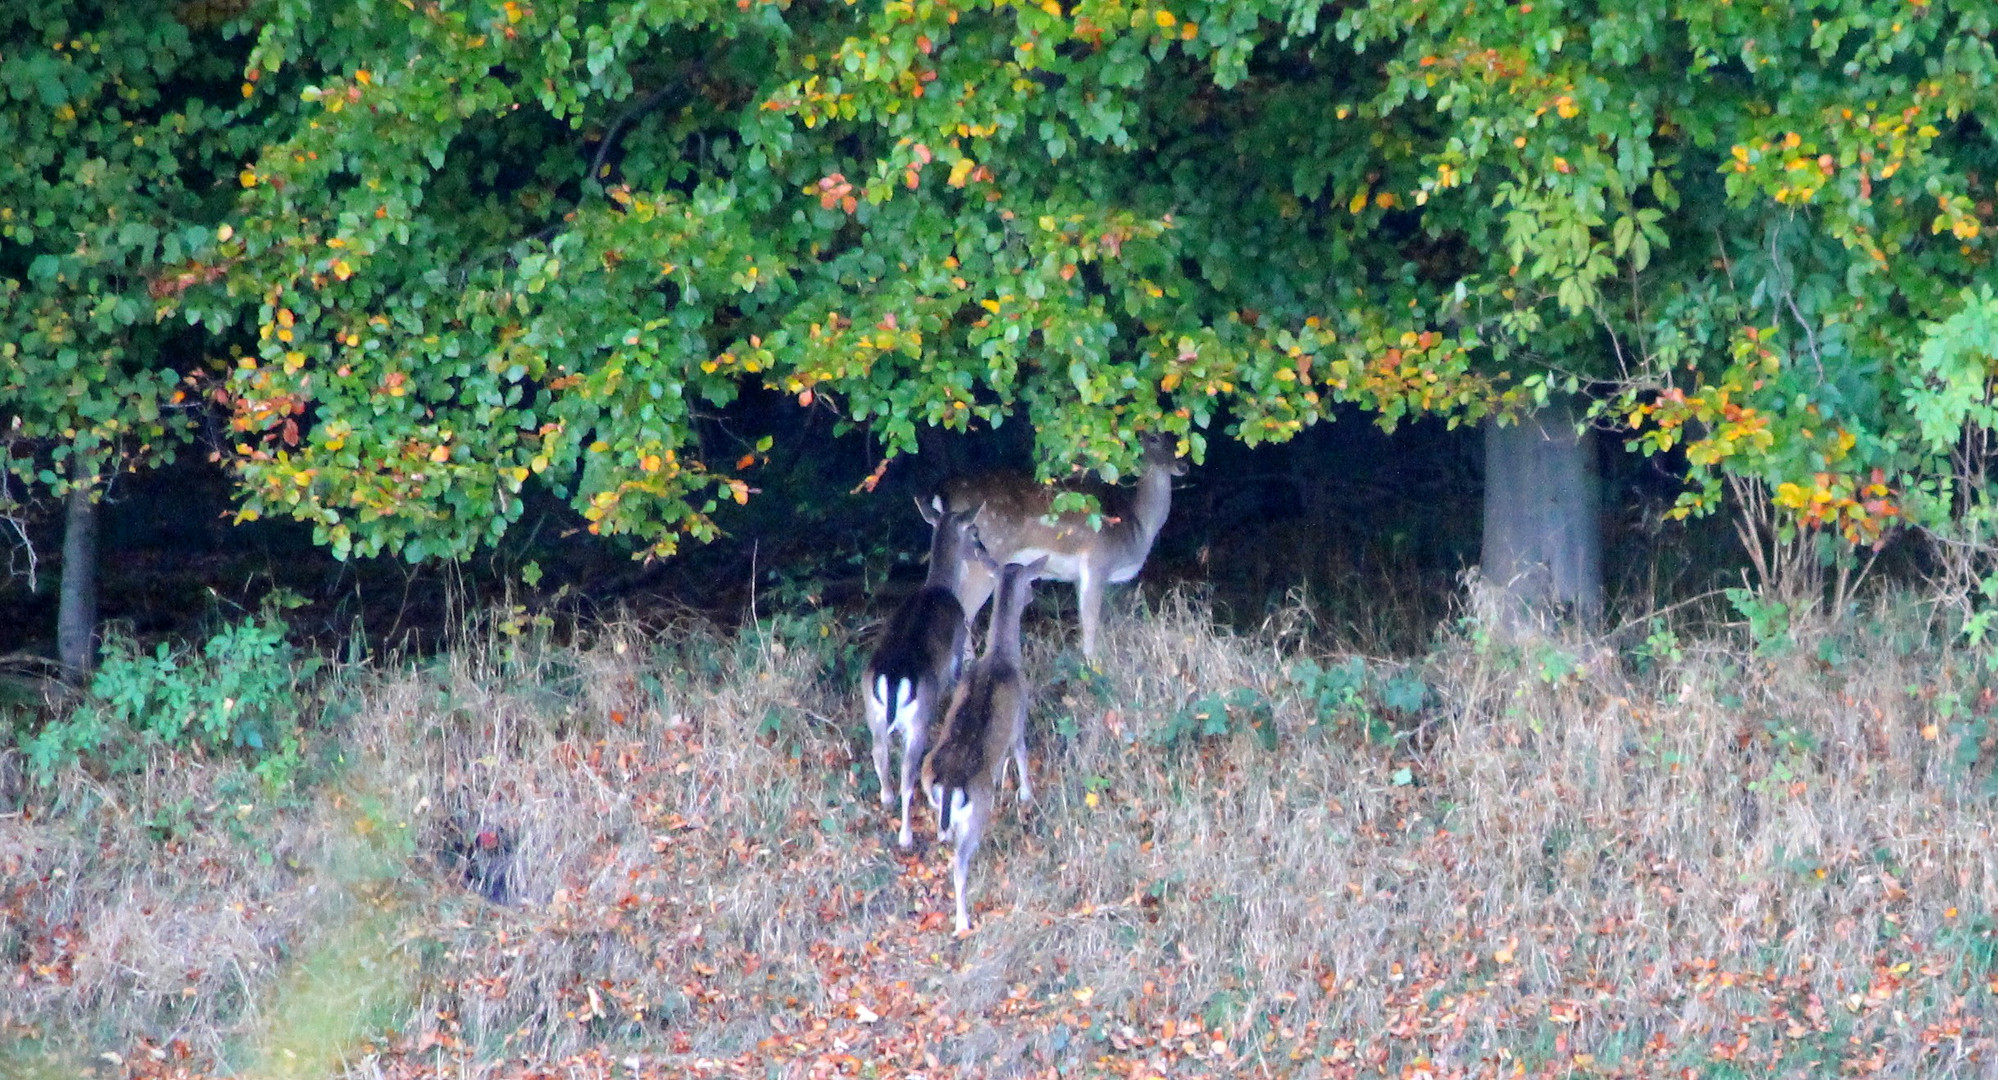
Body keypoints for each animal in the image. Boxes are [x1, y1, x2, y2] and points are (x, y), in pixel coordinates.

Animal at [863, 497, 979, 850]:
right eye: (974, 531)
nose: (982, 549)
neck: (939, 584)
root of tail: (891, 678)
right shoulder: (957, 648)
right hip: (916, 720)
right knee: (907, 773)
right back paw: (906, 835)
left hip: (871, 709)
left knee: (879, 752)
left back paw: (885, 798)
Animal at [919, 550, 1046, 930]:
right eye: (1031, 580)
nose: (1033, 596)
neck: (1002, 657)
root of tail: (948, 783)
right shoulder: (1020, 717)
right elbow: (1019, 752)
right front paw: (1025, 794)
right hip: (976, 811)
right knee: (959, 863)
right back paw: (963, 922)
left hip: (929, 789)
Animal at [939, 429, 1182, 658]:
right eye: (1153, 438)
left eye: (1176, 437)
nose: (1183, 465)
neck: (1136, 527)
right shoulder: (1097, 563)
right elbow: (1091, 631)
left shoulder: (1078, 577)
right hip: (984, 556)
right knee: (965, 610)